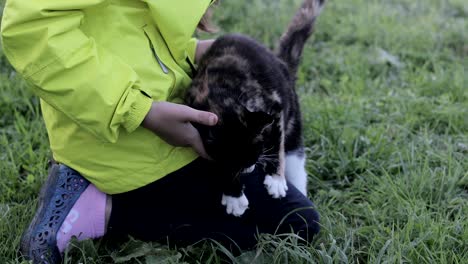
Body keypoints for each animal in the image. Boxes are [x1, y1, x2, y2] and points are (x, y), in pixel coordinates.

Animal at [186, 0, 326, 217]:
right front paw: (234, 196)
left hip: (293, 123)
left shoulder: (274, 106)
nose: (250, 165)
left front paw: (276, 180)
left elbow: (277, 144)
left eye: (257, 150)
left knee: (296, 162)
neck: (221, 95)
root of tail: (281, 62)